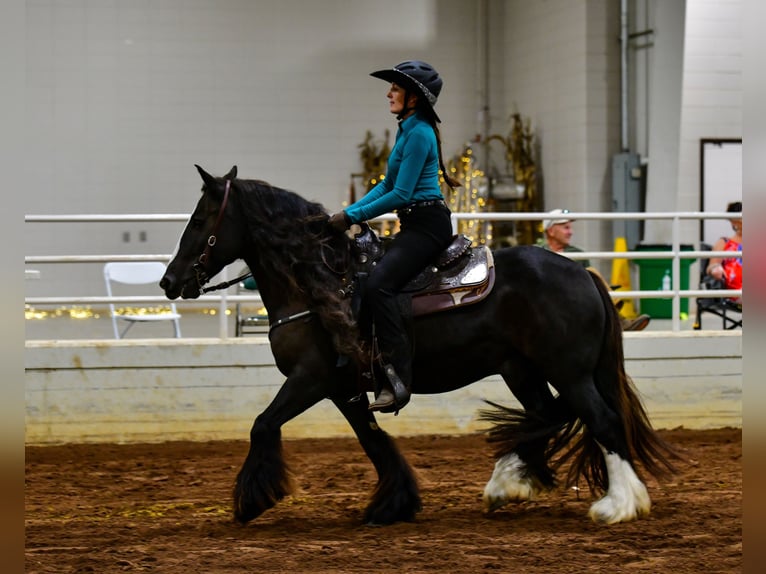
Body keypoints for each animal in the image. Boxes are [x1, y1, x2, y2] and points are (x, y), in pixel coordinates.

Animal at [159, 165, 676, 528]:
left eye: (200, 218)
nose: (168, 281)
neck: (318, 283)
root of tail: (585, 274)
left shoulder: (312, 378)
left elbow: (263, 424)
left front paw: (251, 501)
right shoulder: (346, 388)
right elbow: (374, 441)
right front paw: (394, 503)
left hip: (568, 371)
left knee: (601, 419)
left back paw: (619, 505)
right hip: (520, 370)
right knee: (548, 416)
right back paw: (506, 485)